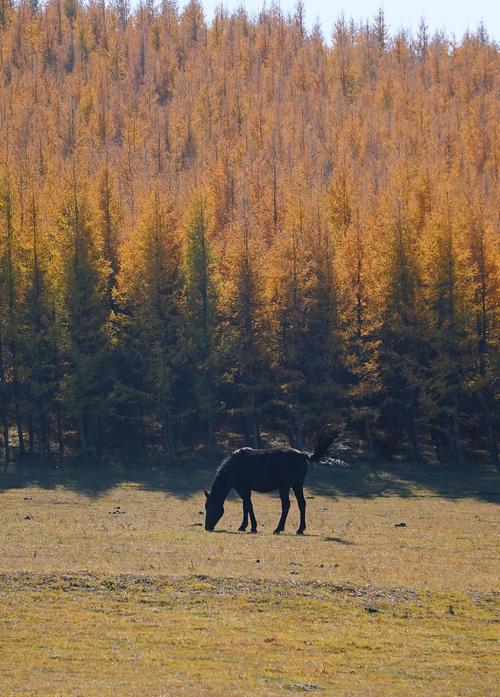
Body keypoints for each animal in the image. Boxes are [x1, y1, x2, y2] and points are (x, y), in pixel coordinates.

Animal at [204, 430, 340, 532]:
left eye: (209, 508)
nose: (207, 527)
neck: (234, 466)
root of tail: (302, 454)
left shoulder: (242, 488)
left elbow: (248, 506)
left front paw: (252, 527)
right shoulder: (244, 489)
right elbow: (245, 506)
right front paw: (244, 526)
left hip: (285, 486)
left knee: (286, 505)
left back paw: (279, 528)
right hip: (297, 485)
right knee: (302, 503)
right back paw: (300, 529)